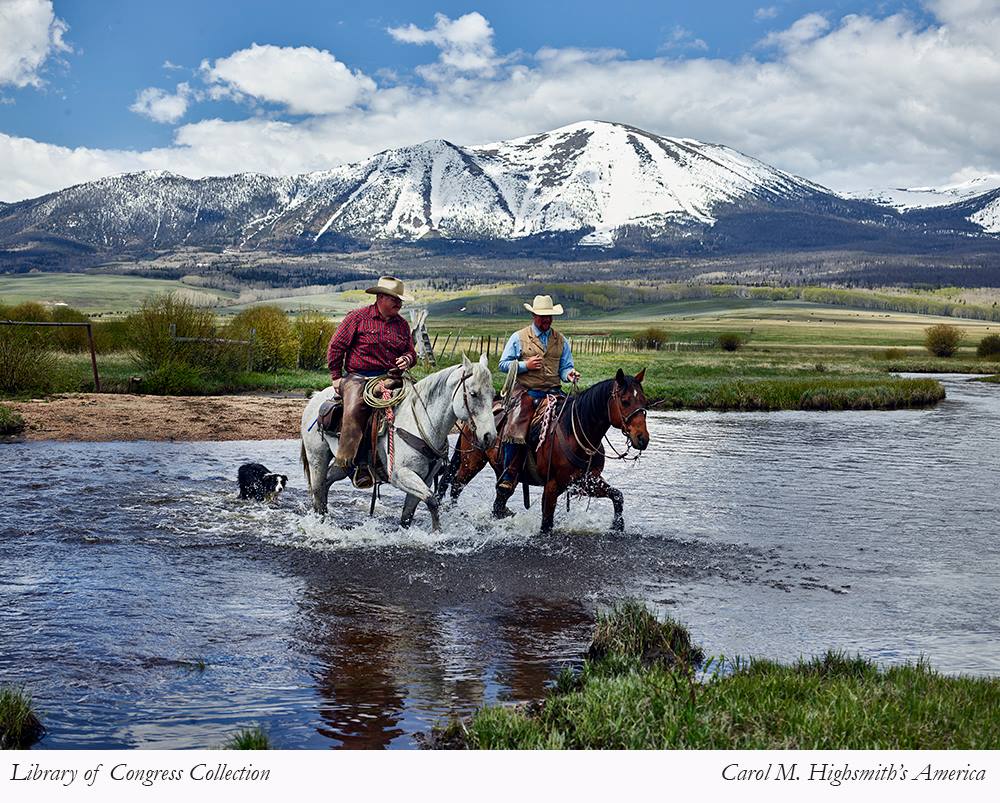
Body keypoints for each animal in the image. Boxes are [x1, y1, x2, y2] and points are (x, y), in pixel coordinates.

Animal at [298, 354, 498, 532]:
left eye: (493, 394)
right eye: (473, 394)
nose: (490, 436)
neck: (422, 423)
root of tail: (315, 398)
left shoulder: (425, 478)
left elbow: (408, 514)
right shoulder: (400, 475)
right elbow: (432, 500)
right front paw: (436, 532)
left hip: (343, 465)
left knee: (326, 482)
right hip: (317, 457)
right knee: (318, 489)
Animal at [436, 370, 648, 532]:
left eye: (644, 400)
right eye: (625, 401)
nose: (642, 438)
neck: (575, 433)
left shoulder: (586, 481)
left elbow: (617, 496)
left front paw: (617, 526)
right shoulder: (552, 486)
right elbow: (546, 523)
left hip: (501, 469)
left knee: (499, 497)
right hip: (472, 461)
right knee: (456, 485)